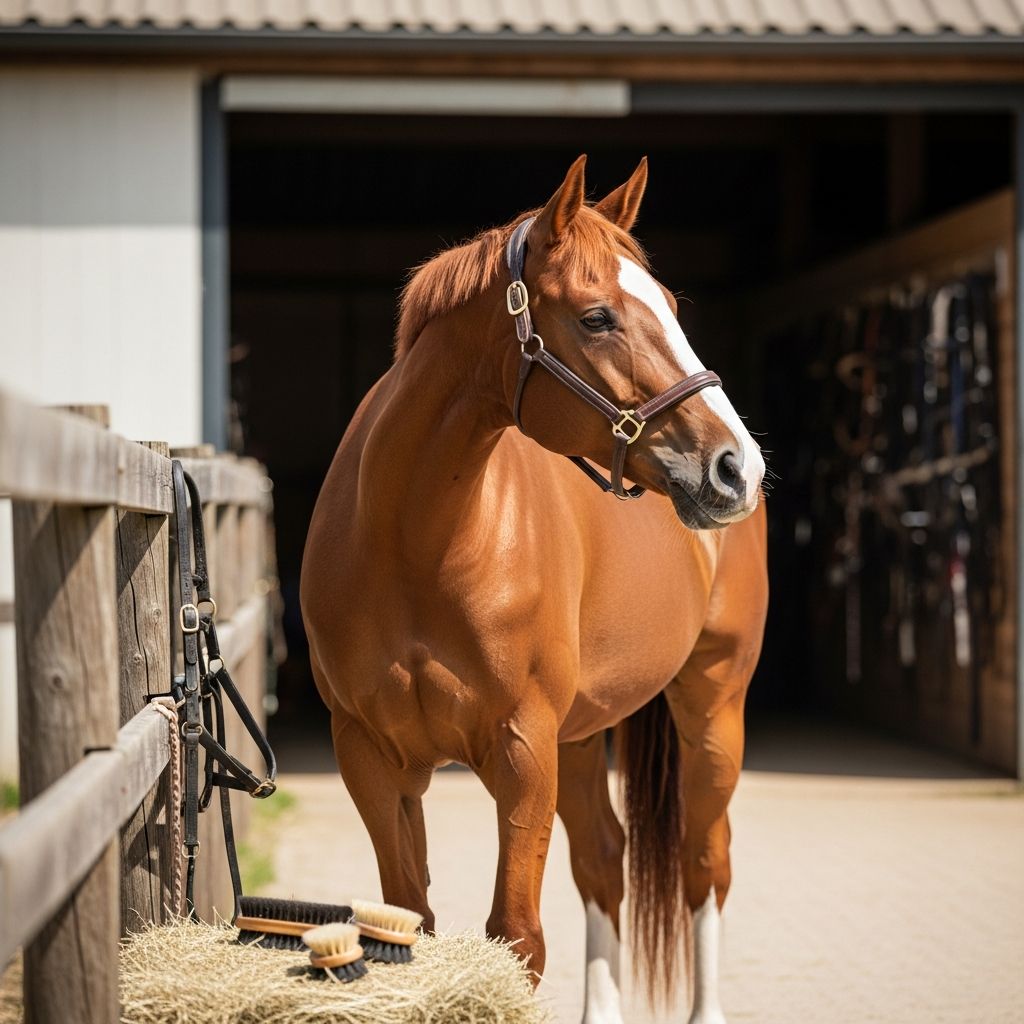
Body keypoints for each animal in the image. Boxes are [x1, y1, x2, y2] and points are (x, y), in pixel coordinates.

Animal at [300, 155, 768, 1024]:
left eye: (671, 307)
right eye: (597, 317)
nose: (737, 467)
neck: (418, 544)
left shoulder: (522, 750)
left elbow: (517, 936)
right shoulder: (371, 757)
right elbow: (407, 919)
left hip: (712, 705)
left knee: (704, 862)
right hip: (581, 736)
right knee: (606, 861)